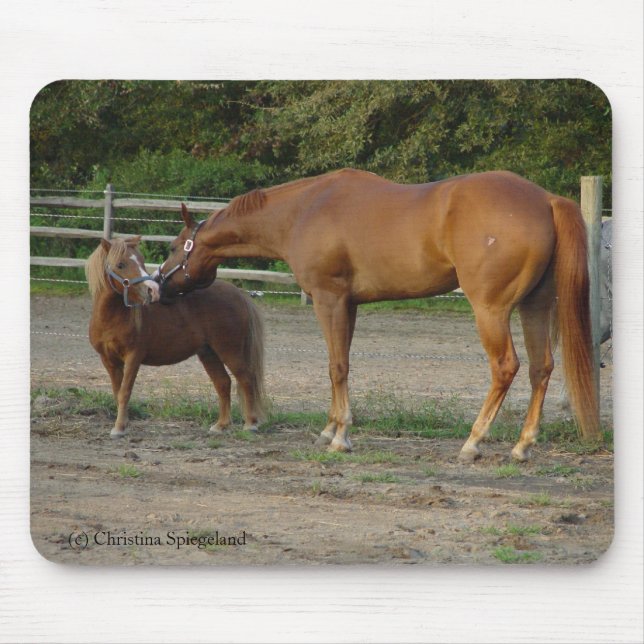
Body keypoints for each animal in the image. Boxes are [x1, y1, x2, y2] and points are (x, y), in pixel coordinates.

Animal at [85, 236, 266, 438]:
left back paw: (250, 424)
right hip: (208, 353)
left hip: (229, 350)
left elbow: (125, 392)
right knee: (223, 383)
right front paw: (121, 424)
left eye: (141, 261)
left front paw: (119, 428)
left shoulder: (133, 357)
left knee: (246, 379)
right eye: (120, 264)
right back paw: (220, 425)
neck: (113, 318)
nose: (152, 290)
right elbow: (117, 393)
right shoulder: (108, 360)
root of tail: (239, 295)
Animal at [155, 169, 599, 462]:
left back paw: (473, 442)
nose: (159, 284)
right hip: (534, 306)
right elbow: (341, 365)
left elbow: (336, 366)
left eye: (176, 247)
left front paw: (341, 436)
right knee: (541, 368)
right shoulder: (349, 305)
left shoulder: (329, 299)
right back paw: (522, 446)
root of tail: (545, 199)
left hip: (490, 310)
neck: (304, 210)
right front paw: (329, 429)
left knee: (506, 367)